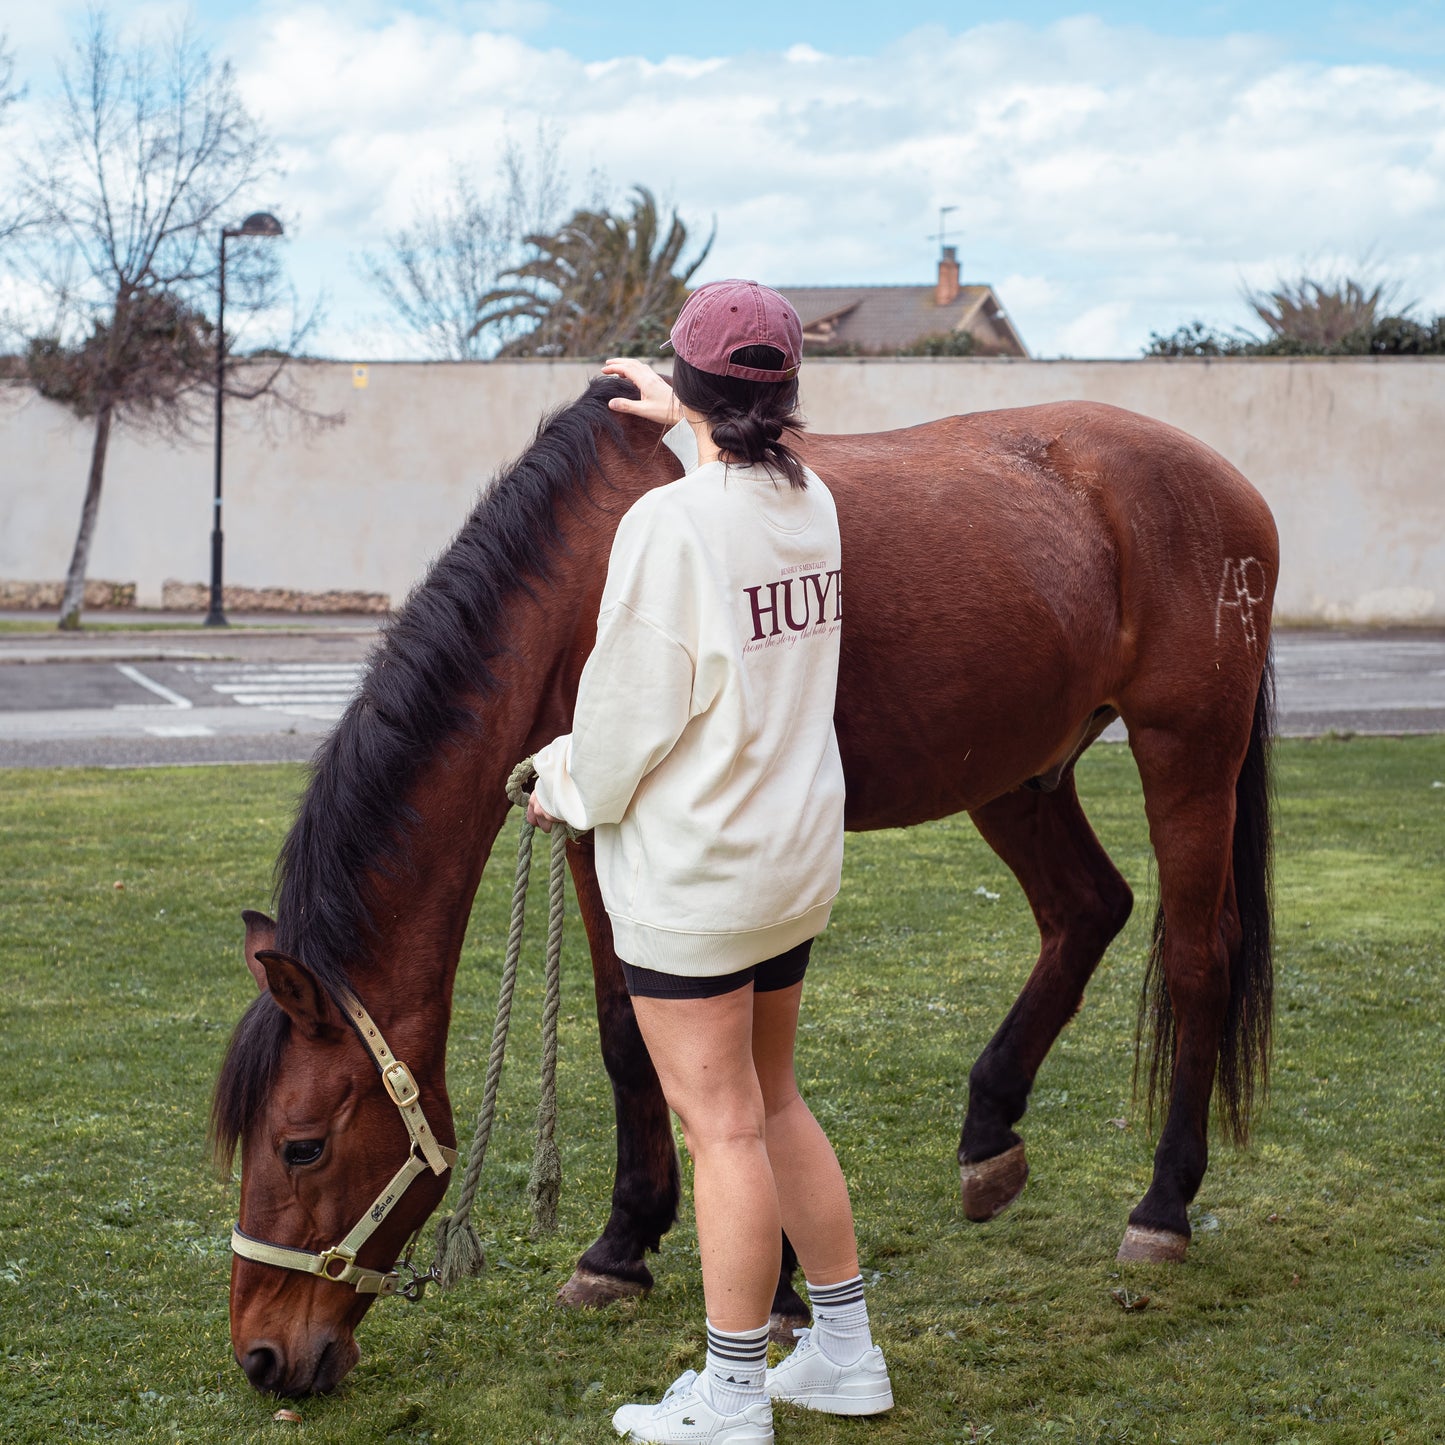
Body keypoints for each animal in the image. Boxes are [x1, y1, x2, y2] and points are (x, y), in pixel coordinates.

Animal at [209, 378, 1271, 1392]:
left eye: (300, 1144)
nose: (262, 1355)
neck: (577, 580)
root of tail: (1225, 481)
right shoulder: (597, 834)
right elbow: (623, 1032)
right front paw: (623, 1247)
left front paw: (753, 1276)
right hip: (1015, 775)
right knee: (1086, 911)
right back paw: (987, 1133)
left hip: (1185, 750)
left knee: (1194, 959)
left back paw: (1162, 1205)